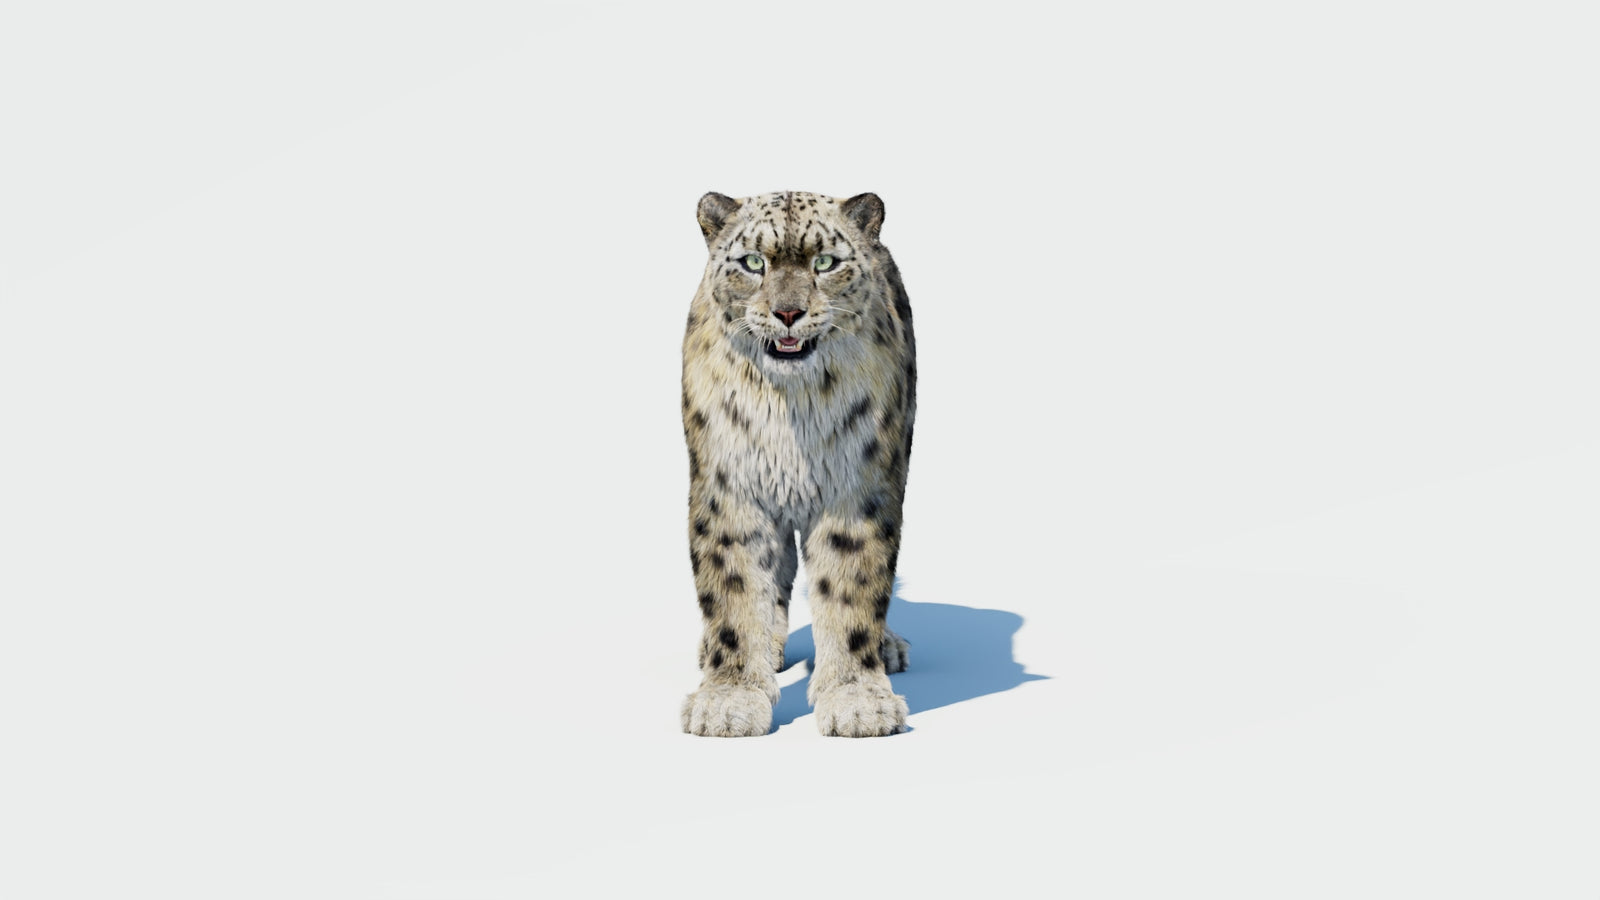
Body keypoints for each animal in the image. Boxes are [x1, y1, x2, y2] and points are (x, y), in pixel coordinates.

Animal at [680, 190, 916, 737]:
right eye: (753, 262)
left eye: (824, 263)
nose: (788, 312)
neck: (790, 410)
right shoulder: (731, 488)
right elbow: (735, 591)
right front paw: (729, 699)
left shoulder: (857, 489)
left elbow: (852, 588)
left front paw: (856, 700)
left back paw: (889, 647)